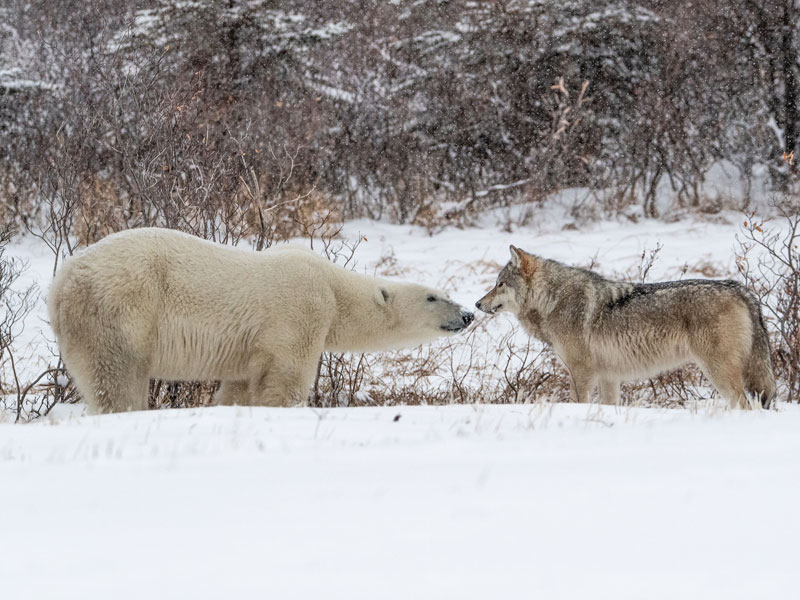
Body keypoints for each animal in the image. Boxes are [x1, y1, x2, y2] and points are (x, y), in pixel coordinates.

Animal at [48, 227, 476, 414]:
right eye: (433, 296)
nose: (468, 314)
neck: (332, 286)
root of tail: (62, 281)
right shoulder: (299, 310)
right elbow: (285, 377)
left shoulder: (247, 348)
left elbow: (239, 386)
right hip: (120, 309)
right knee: (117, 377)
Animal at [476, 245, 776, 408]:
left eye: (500, 284)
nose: (478, 304)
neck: (553, 299)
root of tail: (740, 289)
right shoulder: (609, 377)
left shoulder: (581, 372)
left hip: (718, 372)